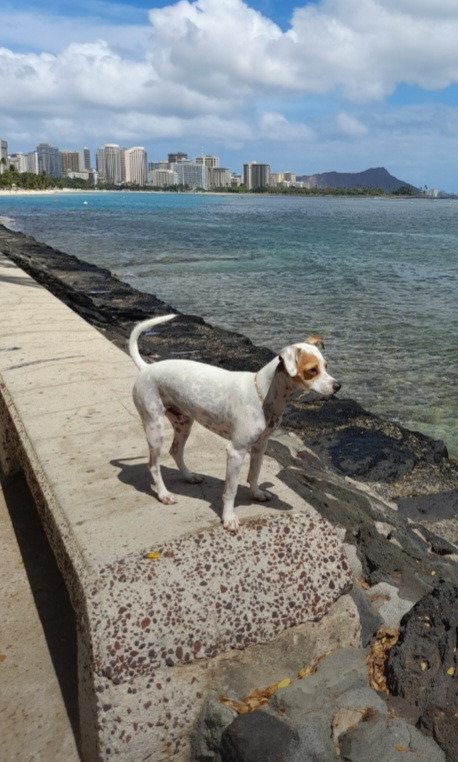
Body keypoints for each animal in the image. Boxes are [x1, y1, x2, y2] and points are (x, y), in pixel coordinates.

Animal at [129, 314, 341, 531]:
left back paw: (189, 476)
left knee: (175, 451)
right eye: (312, 370)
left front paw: (256, 494)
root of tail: (146, 367)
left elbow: (254, 474)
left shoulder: (260, 446)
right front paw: (229, 517)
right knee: (154, 465)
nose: (338, 386)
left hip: (184, 423)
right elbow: (230, 491)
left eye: (326, 366)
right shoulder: (236, 452)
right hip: (154, 427)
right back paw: (164, 494)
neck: (263, 395)